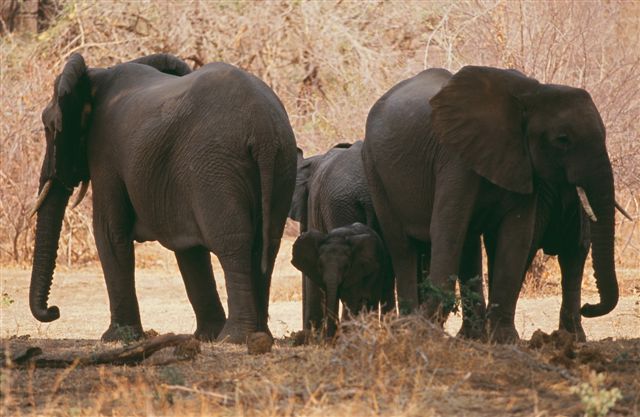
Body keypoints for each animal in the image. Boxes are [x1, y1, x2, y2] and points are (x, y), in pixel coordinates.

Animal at [29, 53, 297, 344]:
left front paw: (116, 338)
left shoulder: (104, 153)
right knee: (267, 244)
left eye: (49, 127)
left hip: (217, 165)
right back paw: (258, 336)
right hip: (280, 162)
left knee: (233, 243)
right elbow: (188, 247)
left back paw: (233, 338)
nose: (54, 311)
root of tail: (263, 131)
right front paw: (205, 336)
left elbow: (109, 233)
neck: (94, 76)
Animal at [362, 66, 621, 343]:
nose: (588, 308)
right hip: (375, 169)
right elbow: (448, 230)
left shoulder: (522, 164)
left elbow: (517, 236)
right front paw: (424, 331)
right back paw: (409, 326)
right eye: (563, 139)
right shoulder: (455, 158)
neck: (531, 93)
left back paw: (468, 335)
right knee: (402, 246)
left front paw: (504, 339)